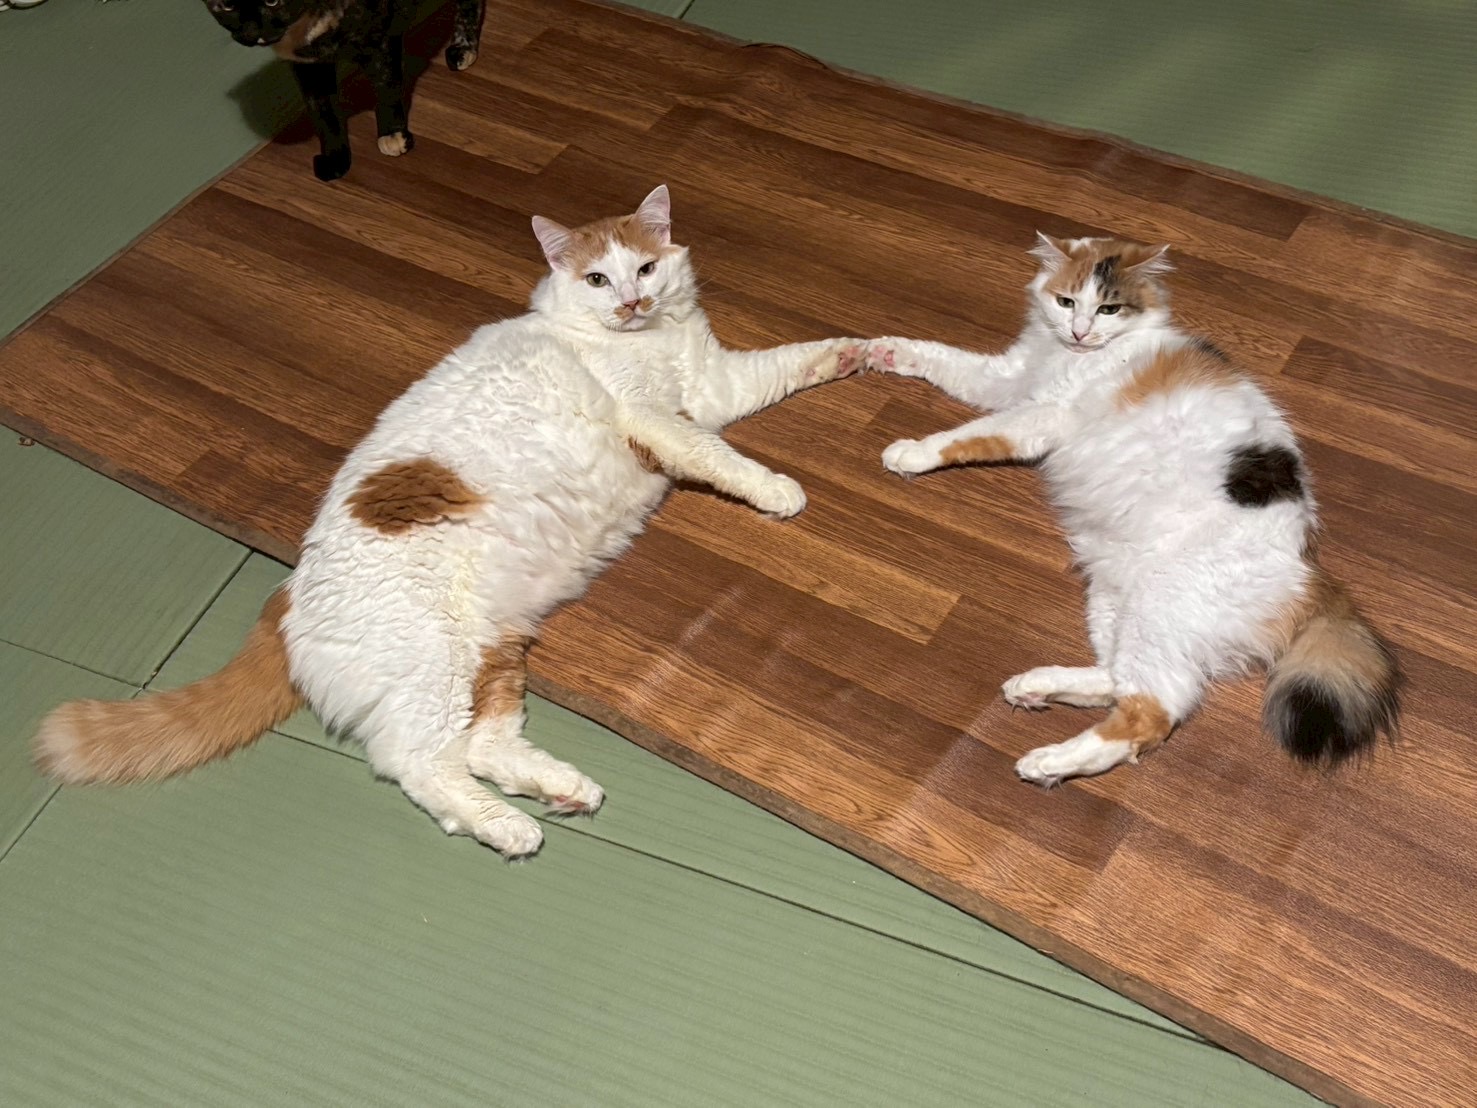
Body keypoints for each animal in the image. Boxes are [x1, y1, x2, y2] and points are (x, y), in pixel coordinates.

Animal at [35, 185, 864, 857]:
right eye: (597, 278)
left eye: (645, 269)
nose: (630, 302)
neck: (639, 340)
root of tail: (285, 597)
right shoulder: (658, 418)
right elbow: (718, 456)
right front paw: (777, 489)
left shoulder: (716, 385)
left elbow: (797, 358)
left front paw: (864, 350)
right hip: (434, 664)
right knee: (419, 764)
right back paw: (509, 827)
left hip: (492, 651)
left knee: (481, 748)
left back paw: (562, 790)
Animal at [201, 0, 486, 180]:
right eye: (226, 6)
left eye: (273, 1)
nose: (253, 31)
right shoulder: (309, 68)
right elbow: (324, 115)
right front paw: (336, 159)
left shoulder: (381, 40)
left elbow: (387, 90)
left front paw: (393, 135)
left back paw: (463, 47)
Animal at [867, 232, 1399, 787]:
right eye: (1066, 302)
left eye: (1109, 308)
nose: (1080, 332)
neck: (1082, 353)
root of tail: (1310, 573)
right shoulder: (1007, 380)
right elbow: (943, 359)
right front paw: (883, 348)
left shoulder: (1039, 415)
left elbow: (964, 437)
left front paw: (911, 452)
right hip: (1113, 596)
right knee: (1119, 681)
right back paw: (1036, 686)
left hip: (1157, 606)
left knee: (1152, 712)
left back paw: (1047, 762)